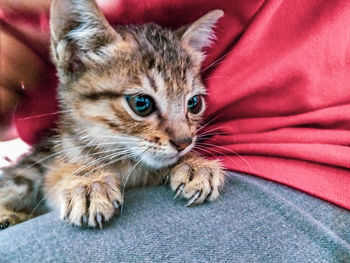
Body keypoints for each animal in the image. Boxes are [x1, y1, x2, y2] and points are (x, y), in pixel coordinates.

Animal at [0, 0, 224, 230]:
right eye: (141, 104)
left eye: (194, 104)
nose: (184, 143)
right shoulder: (55, 160)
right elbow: (60, 174)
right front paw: (88, 182)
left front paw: (195, 164)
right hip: (28, 172)